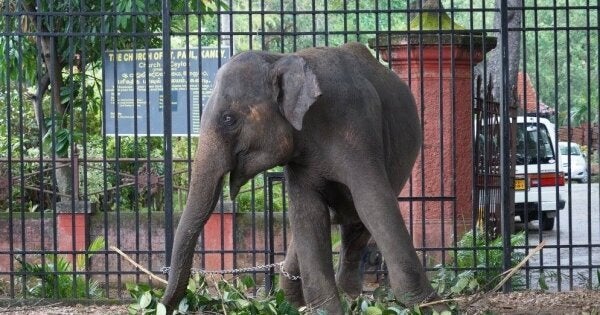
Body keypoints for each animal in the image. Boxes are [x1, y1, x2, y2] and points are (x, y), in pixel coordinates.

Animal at [162, 42, 442, 315]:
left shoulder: (357, 128)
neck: (280, 58)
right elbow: (308, 214)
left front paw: (428, 306)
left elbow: (373, 203)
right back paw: (305, 301)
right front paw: (327, 311)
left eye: (228, 119)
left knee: (357, 220)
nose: (162, 304)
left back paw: (351, 298)